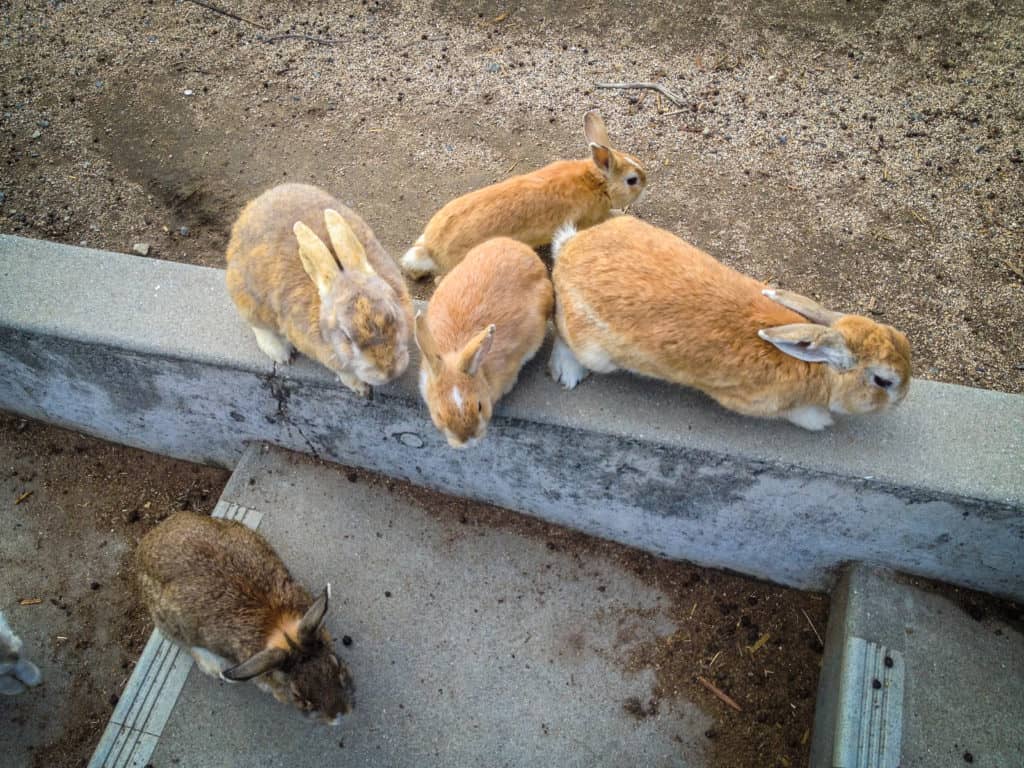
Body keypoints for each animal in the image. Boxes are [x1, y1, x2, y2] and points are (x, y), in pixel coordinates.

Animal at [136, 511, 354, 725]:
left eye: (337, 666)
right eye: (299, 696)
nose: (339, 715)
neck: (280, 630)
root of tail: (146, 543)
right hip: (171, 626)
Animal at [226, 183, 413, 397]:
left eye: (392, 317)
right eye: (347, 337)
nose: (388, 372)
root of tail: (248, 211)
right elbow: (342, 371)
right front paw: (360, 388)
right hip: (247, 298)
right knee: (257, 325)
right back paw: (281, 353)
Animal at [548, 216, 912, 431]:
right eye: (883, 381)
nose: (903, 398)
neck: (818, 370)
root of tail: (568, 248)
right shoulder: (757, 404)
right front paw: (821, 421)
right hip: (595, 350)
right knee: (563, 334)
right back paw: (568, 372)